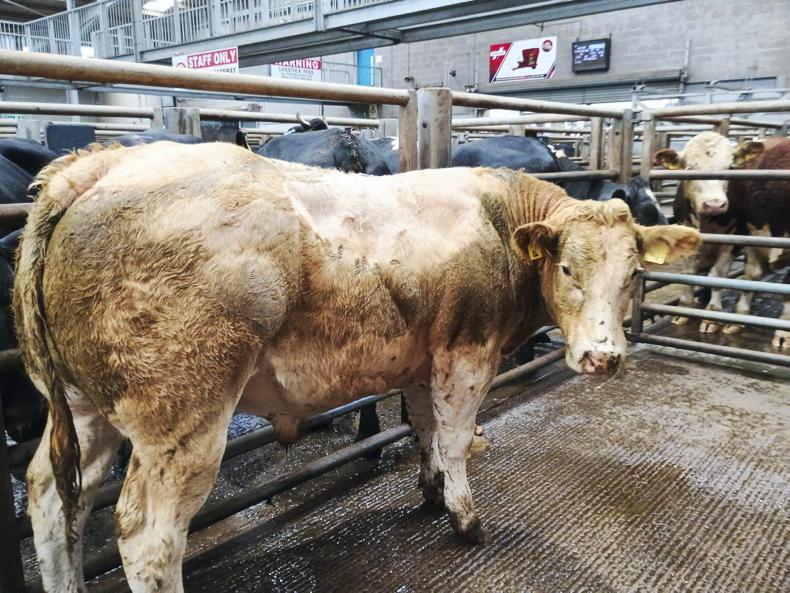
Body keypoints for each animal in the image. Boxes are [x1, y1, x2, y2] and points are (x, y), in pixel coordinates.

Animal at [15, 142, 698, 593]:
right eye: (567, 269)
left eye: (633, 274)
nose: (603, 357)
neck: (496, 218)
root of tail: (98, 165)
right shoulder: (467, 353)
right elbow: (455, 437)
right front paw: (467, 519)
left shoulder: (426, 358)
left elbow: (425, 428)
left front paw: (432, 491)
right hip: (183, 419)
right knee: (148, 538)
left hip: (85, 406)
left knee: (54, 500)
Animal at [655, 132, 789, 348]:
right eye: (689, 169)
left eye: (730, 168)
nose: (714, 204)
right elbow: (688, 274)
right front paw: (685, 309)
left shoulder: (731, 242)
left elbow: (718, 276)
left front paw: (712, 315)